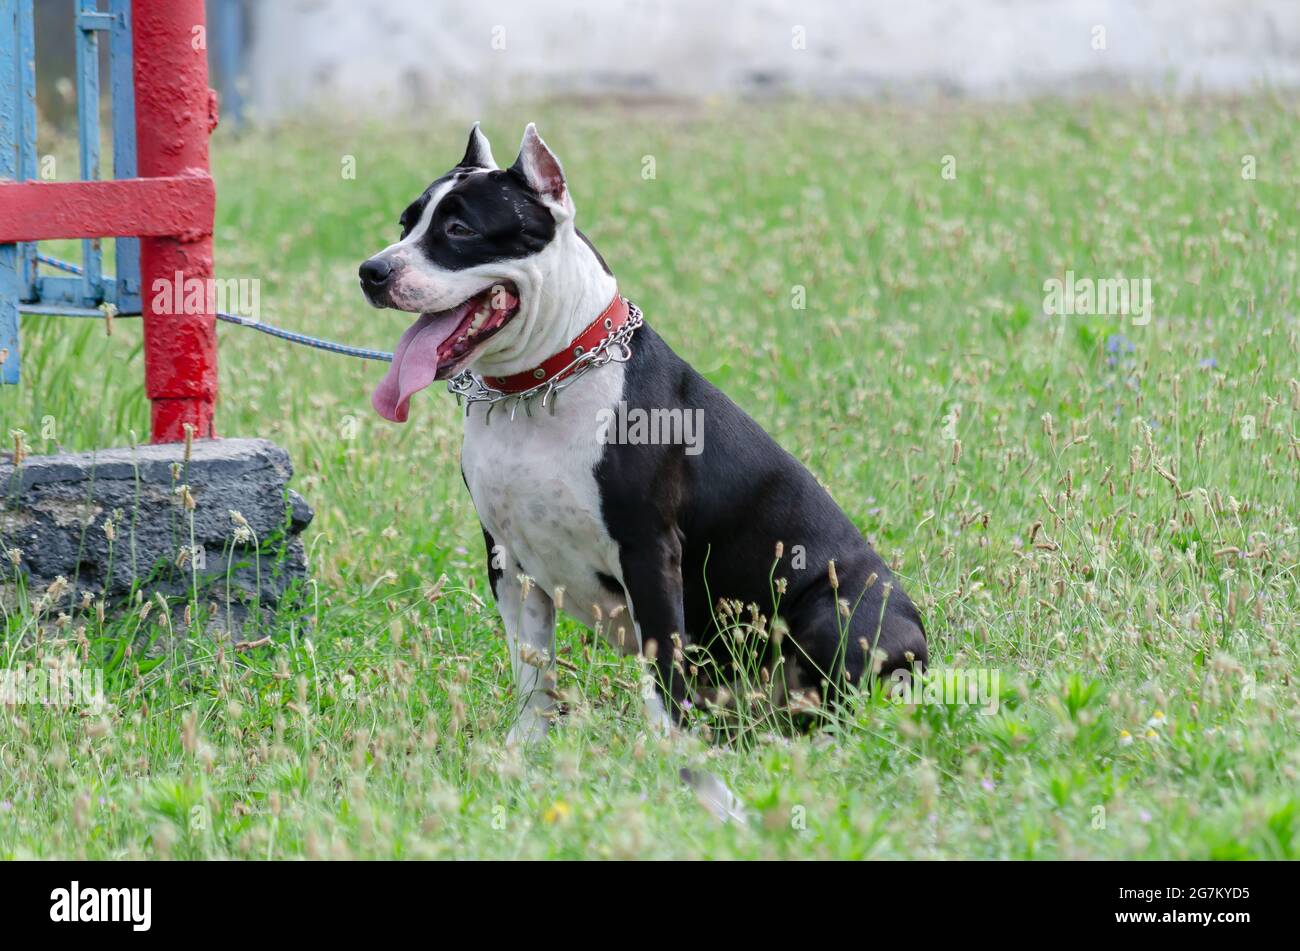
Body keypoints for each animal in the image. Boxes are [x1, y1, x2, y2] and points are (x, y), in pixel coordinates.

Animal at [358, 122, 925, 748]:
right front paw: (523, 746)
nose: (372, 271)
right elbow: (532, 667)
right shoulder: (509, 559)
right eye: (405, 225)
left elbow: (661, 654)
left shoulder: (648, 549)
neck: (540, 385)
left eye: (459, 230)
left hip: (840, 613)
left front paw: (666, 747)